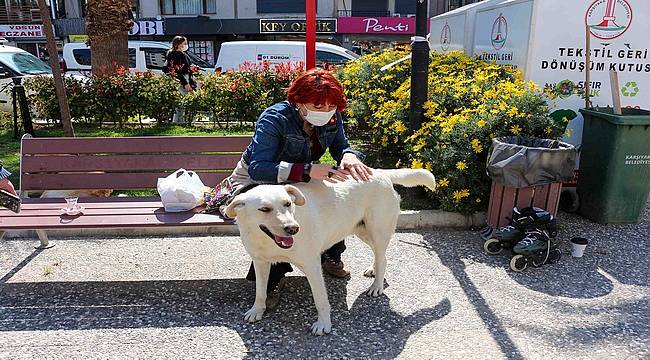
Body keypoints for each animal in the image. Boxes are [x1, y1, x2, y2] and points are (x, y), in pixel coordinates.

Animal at [224, 168, 436, 334]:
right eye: (264, 209)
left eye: (288, 204)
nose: (293, 228)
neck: (266, 240)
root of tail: (379, 172)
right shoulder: (260, 263)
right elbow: (260, 291)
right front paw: (256, 310)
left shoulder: (312, 266)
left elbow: (320, 299)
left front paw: (324, 324)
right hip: (361, 230)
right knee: (380, 256)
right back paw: (374, 270)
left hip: (378, 230)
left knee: (382, 257)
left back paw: (376, 285)